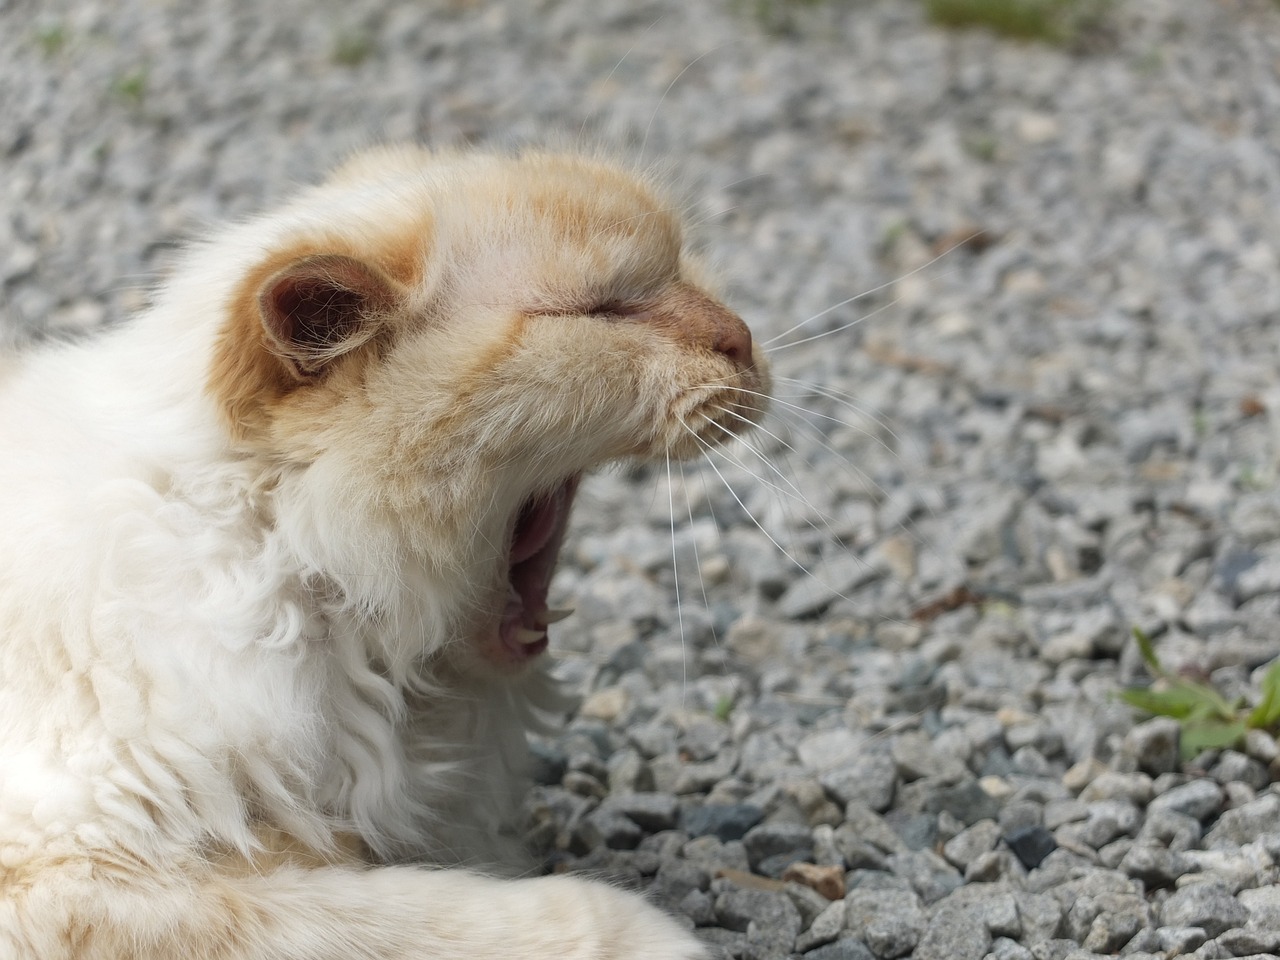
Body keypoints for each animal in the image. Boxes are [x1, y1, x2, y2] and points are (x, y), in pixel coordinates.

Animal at [0, 146, 768, 960]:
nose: (745, 339)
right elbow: (428, 913)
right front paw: (666, 939)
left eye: (679, 270)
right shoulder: (66, 874)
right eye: (603, 312)